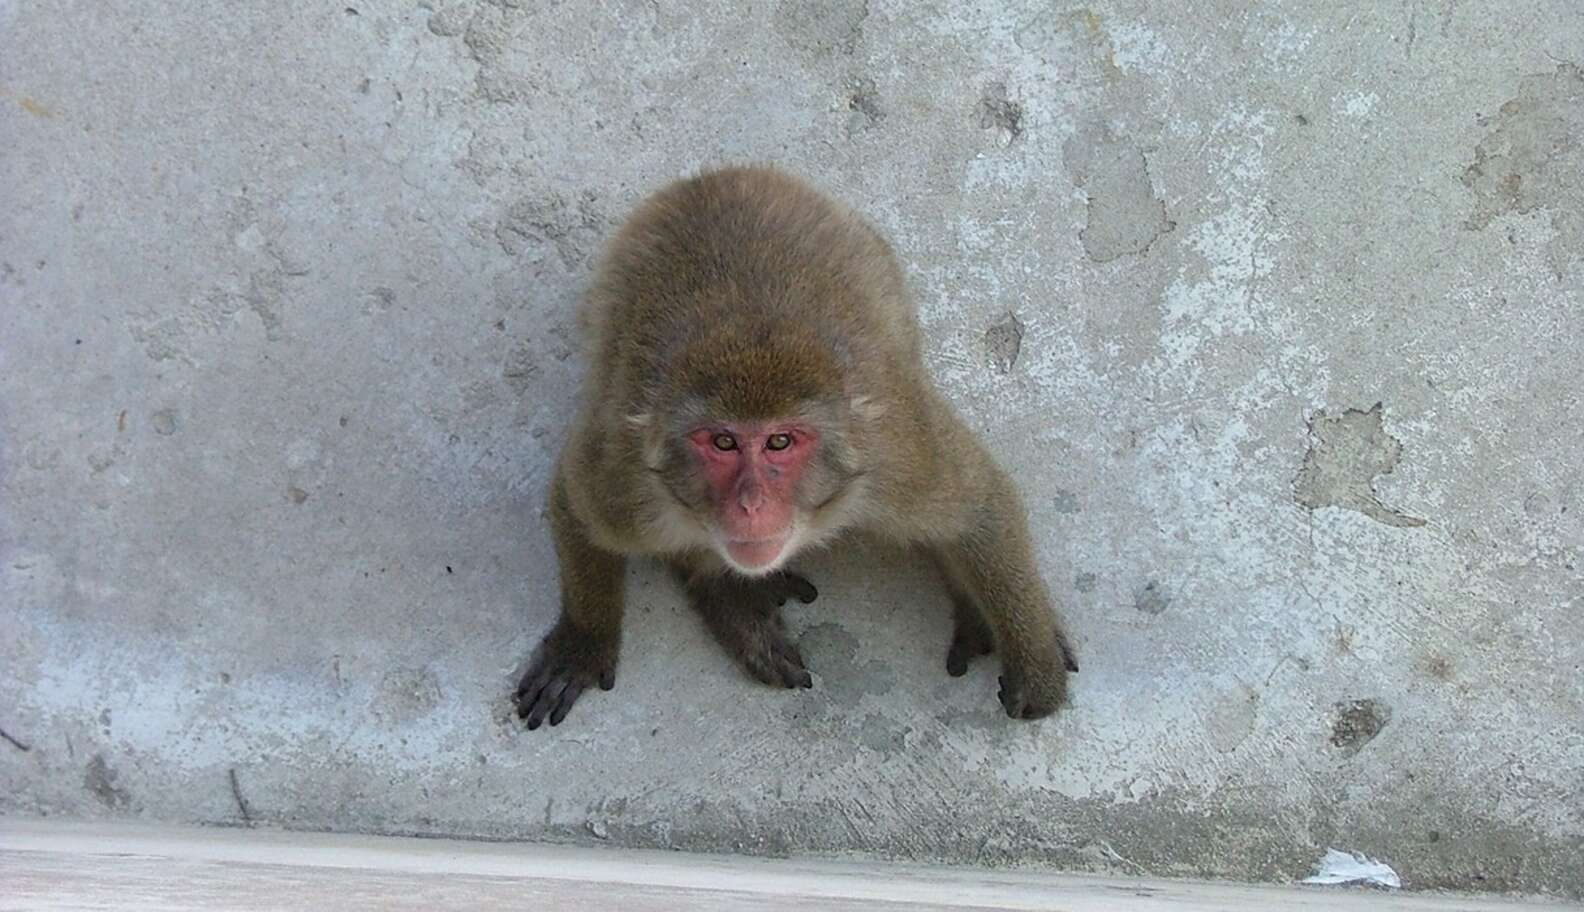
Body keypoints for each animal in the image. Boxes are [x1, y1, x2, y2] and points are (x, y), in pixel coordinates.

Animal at [513, 165, 1078, 730]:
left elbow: (982, 505)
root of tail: (718, 176)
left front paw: (1037, 668)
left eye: (780, 441)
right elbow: (574, 506)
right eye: (723, 442)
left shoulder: (896, 455)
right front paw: (585, 639)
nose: (751, 503)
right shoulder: (624, 478)